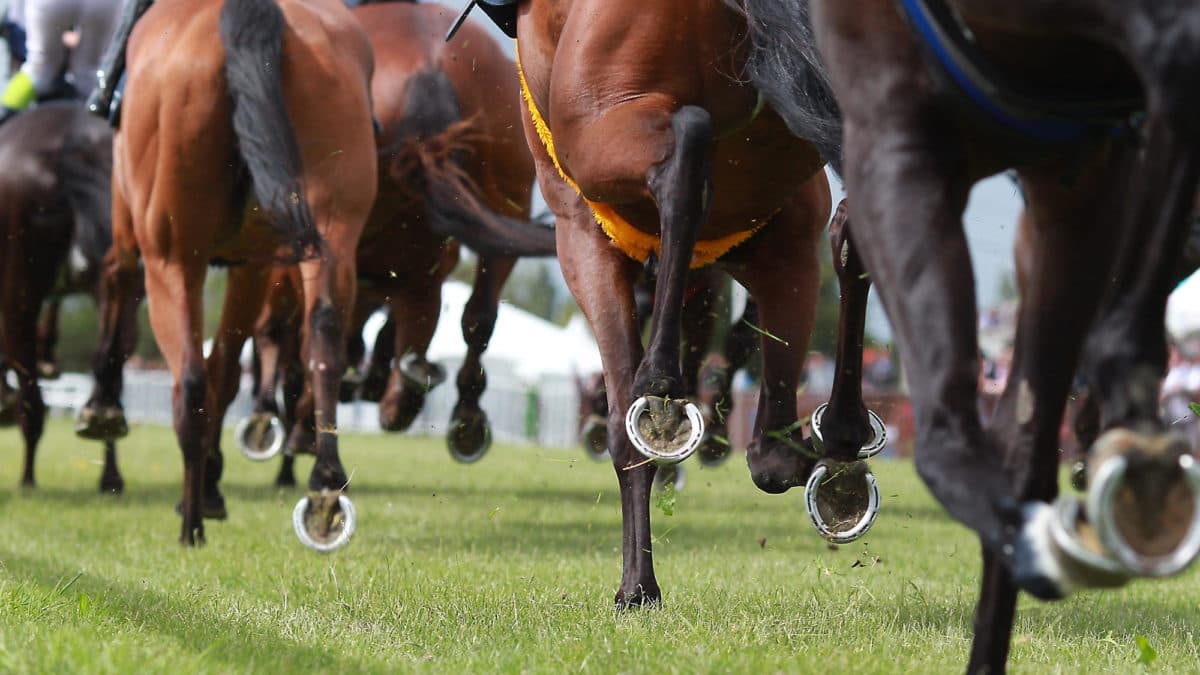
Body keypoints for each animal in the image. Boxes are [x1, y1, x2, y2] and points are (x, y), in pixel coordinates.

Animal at [93, 0, 378, 547]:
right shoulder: (254, 264)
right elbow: (229, 371)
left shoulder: (134, 237)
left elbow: (118, 284)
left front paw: (102, 410)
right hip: (331, 235)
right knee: (323, 335)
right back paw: (325, 490)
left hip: (172, 262)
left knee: (189, 380)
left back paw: (191, 526)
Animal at [232, 1, 554, 495]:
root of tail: (429, 70)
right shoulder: (411, 275)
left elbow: (296, 340)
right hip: (507, 196)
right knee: (478, 314)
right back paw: (457, 416)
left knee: (303, 336)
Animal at [502, 0, 885, 607]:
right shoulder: (786, 239)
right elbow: (771, 451)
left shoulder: (582, 236)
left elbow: (623, 429)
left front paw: (636, 586)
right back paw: (837, 433)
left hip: (606, 132)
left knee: (683, 154)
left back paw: (662, 382)